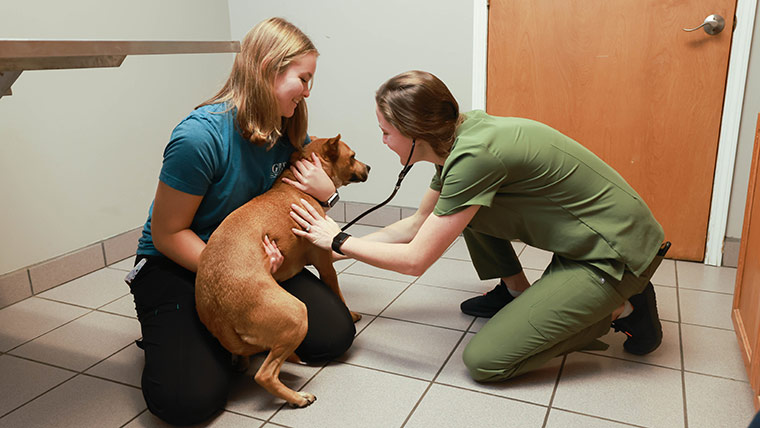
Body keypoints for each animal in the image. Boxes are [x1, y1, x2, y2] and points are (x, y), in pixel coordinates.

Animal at [196, 135, 368, 408]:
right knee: (265, 375)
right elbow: (339, 295)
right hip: (297, 315)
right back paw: (298, 398)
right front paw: (351, 315)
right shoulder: (325, 265)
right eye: (352, 156)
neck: (299, 188)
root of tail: (219, 312)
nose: (369, 167)